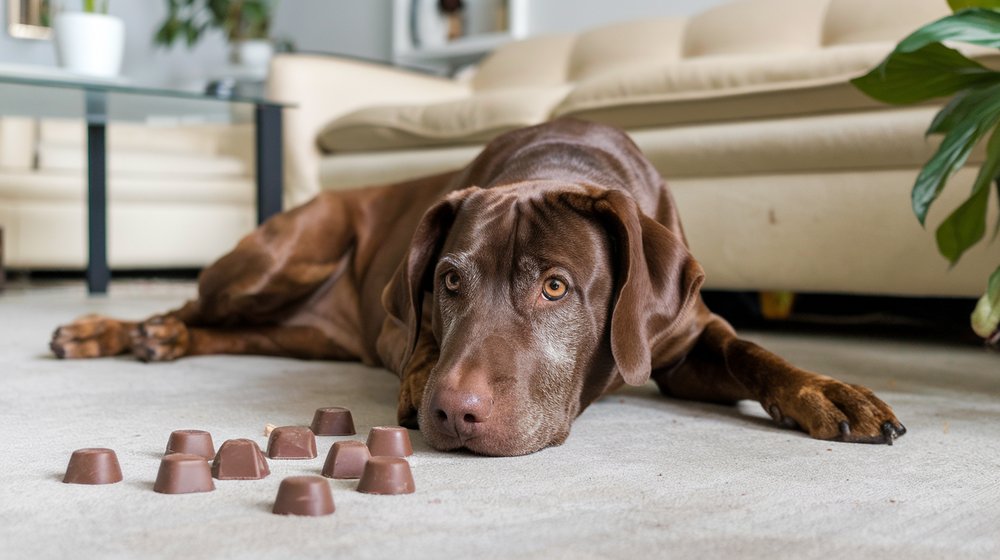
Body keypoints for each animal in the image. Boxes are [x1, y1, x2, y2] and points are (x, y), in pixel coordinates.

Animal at [47, 118, 908, 456]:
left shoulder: (686, 338)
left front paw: (830, 391)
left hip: (290, 326)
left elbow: (759, 355)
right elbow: (421, 345)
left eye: (557, 287)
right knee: (194, 302)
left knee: (221, 327)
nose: (452, 413)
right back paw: (116, 330)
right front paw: (419, 375)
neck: (563, 164)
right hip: (281, 258)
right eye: (449, 282)